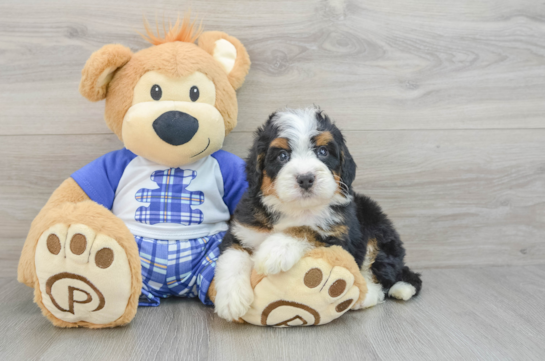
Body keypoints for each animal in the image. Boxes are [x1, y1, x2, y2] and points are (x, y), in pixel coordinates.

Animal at [212, 107, 420, 320]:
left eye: (323, 152)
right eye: (282, 156)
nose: (305, 178)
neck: (296, 209)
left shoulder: (339, 236)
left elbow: (308, 229)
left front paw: (276, 250)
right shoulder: (243, 228)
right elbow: (232, 256)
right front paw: (231, 299)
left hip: (377, 230)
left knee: (382, 276)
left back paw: (372, 294)